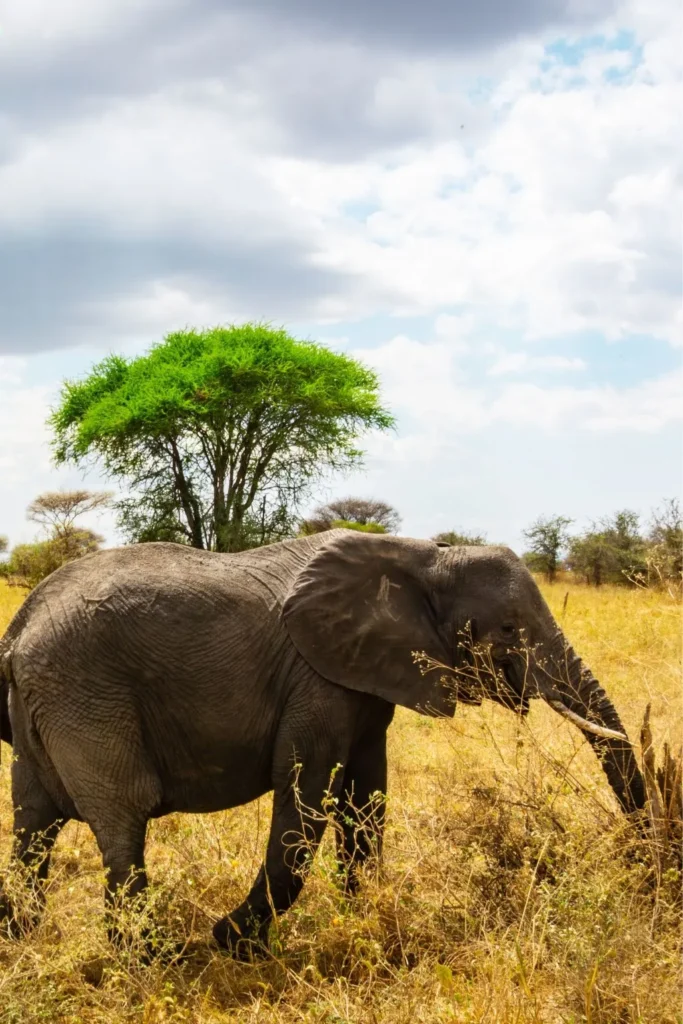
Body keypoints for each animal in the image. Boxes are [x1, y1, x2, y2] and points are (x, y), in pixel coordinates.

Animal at [0, 530, 645, 957]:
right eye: (508, 629)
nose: (643, 865)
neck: (424, 554)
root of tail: (19, 632)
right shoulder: (316, 678)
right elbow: (307, 793)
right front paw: (233, 944)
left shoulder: (364, 672)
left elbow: (366, 800)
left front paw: (362, 919)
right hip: (86, 695)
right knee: (122, 821)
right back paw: (157, 959)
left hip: (49, 706)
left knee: (33, 824)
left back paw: (19, 939)